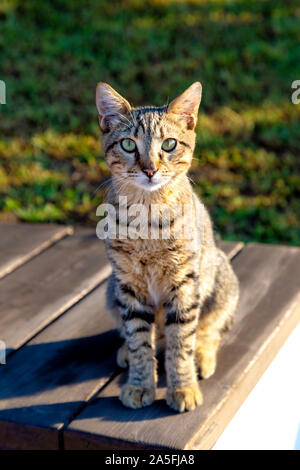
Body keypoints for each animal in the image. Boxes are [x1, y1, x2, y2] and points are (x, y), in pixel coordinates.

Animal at [96, 82, 239, 414]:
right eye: (128, 145)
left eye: (170, 144)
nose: (150, 169)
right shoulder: (128, 285)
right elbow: (139, 341)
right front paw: (139, 383)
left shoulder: (184, 285)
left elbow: (180, 343)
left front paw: (183, 386)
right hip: (111, 290)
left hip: (219, 282)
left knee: (209, 329)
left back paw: (203, 355)